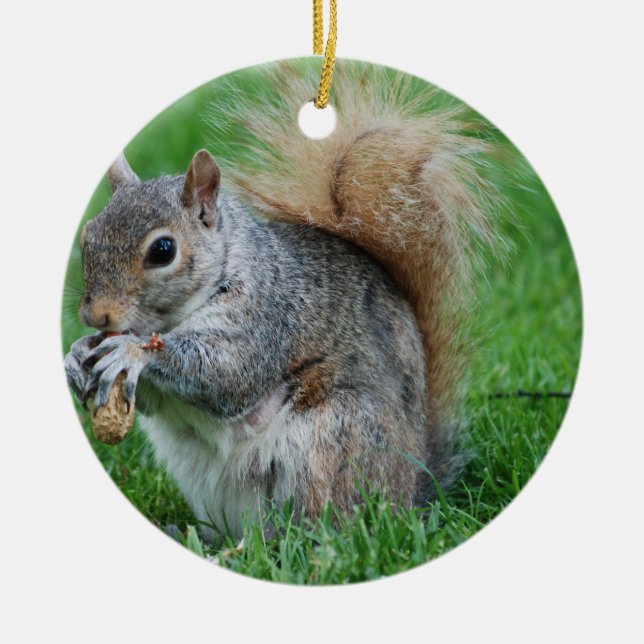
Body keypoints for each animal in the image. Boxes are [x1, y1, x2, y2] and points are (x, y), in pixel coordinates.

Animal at [64, 61, 501, 540]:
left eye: (163, 250)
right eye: (88, 235)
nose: (95, 314)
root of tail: (414, 488)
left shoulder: (268, 314)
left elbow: (226, 374)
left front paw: (130, 350)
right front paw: (76, 355)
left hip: (331, 442)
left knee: (325, 525)